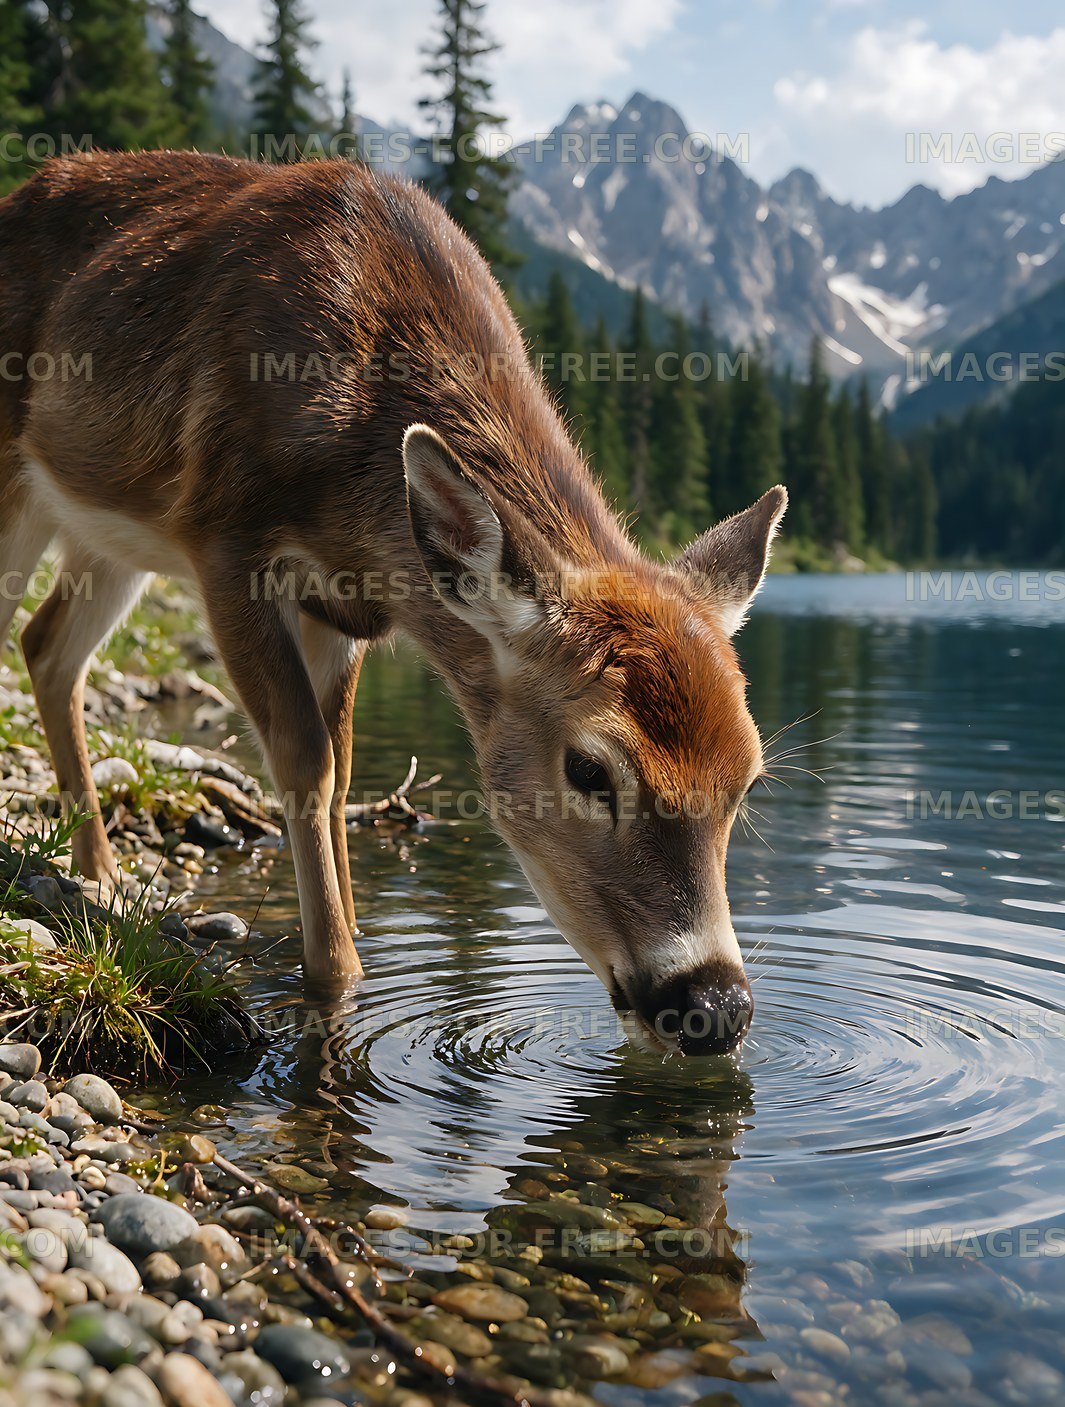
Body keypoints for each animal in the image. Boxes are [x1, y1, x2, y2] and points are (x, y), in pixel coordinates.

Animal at [0, 151, 786, 1056]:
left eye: (747, 778)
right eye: (590, 768)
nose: (714, 1005)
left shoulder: (342, 607)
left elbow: (341, 770)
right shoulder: (225, 538)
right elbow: (304, 759)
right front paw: (336, 980)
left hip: (106, 528)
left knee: (47, 646)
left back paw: (99, 873)